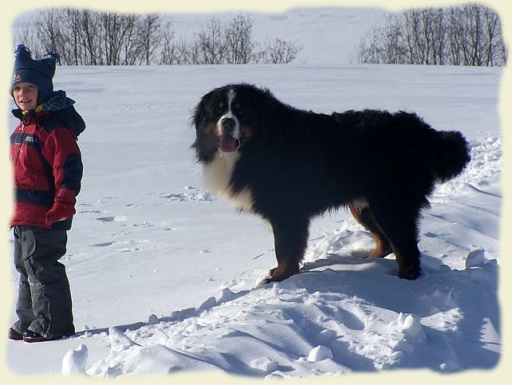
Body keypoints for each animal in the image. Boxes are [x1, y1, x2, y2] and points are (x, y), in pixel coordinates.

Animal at [193, 83, 472, 282]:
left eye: (241, 110)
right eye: (218, 109)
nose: (228, 122)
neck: (257, 147)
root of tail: (421, 131)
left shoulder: (287, 211)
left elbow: (284, 249)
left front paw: (279, 278)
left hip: (390, 205)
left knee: (406, 249)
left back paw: (401, 282)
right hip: (364, 205)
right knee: (385, 242)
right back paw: (367, 261)